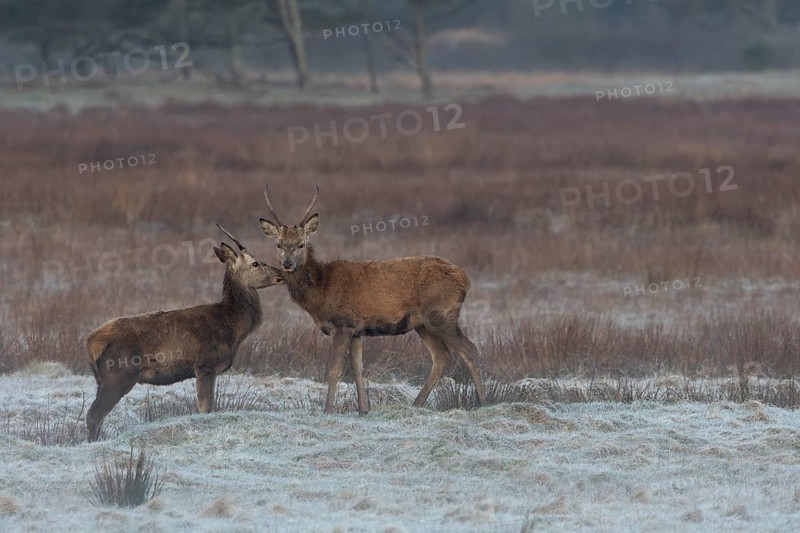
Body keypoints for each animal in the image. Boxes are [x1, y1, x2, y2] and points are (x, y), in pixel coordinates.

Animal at [85, 225, 284, 441]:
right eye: (255, 263)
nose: (282, 273)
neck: (232, 326)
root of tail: (91, 343)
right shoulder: (205, 365)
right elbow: (205, 408)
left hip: (102, 379)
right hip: (118, 374)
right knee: (94, 415)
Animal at [259, 185, 485, 415]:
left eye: (301, 244)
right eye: (278, 244)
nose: (287, 263)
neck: (321, 292)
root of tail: (465, 279)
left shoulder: (342, 323)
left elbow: (334, 369)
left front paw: (328, 410)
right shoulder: (357, 331)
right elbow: (357, 369)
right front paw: (363, 410)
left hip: (442, 315)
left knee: (470, 349)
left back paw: (482, 402)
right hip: (422, 324)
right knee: (441, 356)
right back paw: (417, 404)